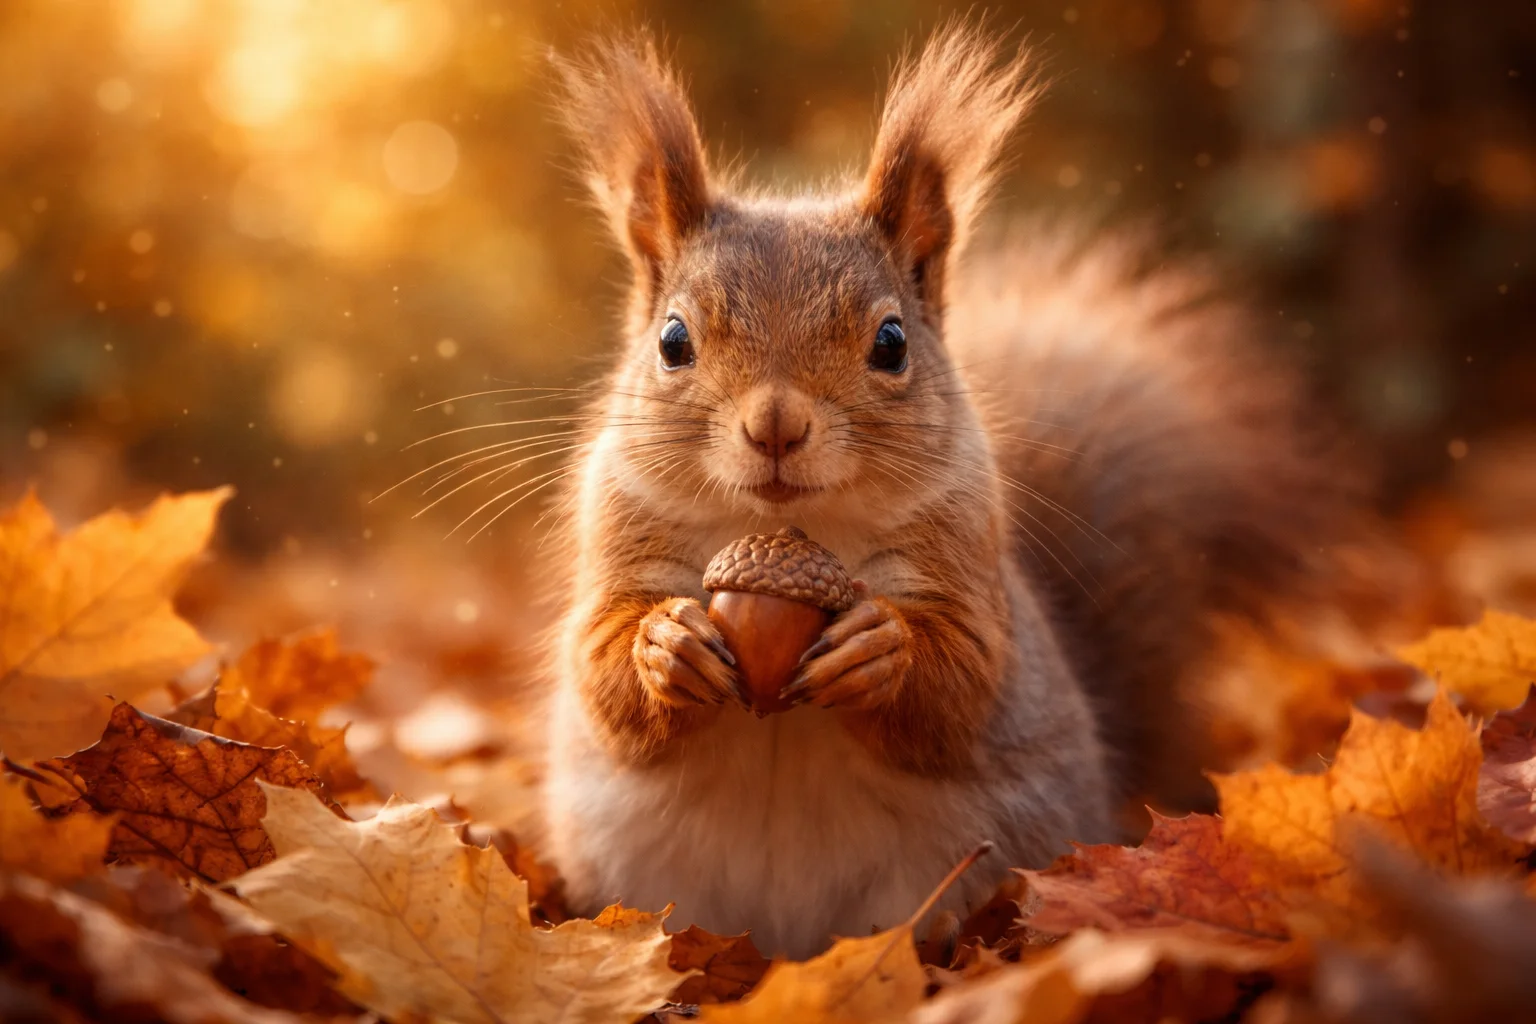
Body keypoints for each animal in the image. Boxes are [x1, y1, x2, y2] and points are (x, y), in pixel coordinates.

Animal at [538, 27, 1364, 959]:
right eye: (673, 340)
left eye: (892, 342)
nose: (776, 427)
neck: (793, 526)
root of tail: (788, 947)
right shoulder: (619, 537)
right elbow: (600, 662)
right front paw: (666, 643)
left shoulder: (968, 562)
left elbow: (962, 676)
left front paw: (881, 648)